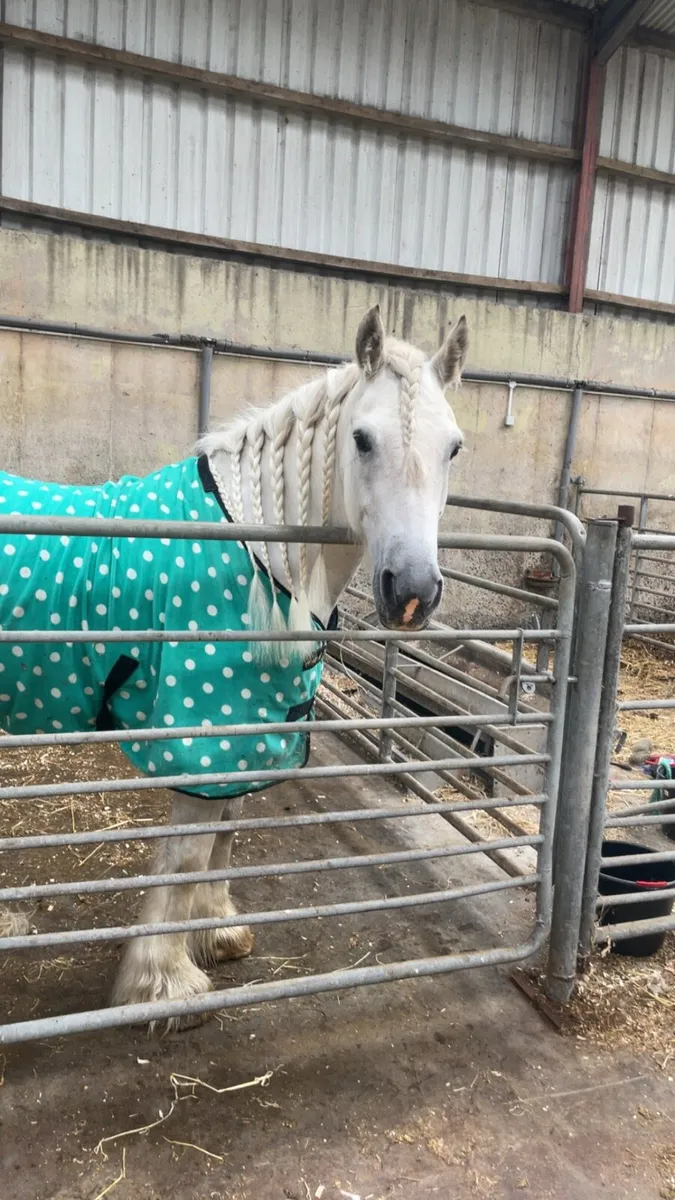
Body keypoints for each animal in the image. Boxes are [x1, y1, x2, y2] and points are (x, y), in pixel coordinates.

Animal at [0, 305, 467, 1030]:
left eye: (453, 447)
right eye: (362, 439)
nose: (412, 592)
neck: (259, 552)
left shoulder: (243, 728)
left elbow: (227, 830)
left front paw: (216, 930)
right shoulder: (201, 734)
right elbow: (188, 852)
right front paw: (164, 985)